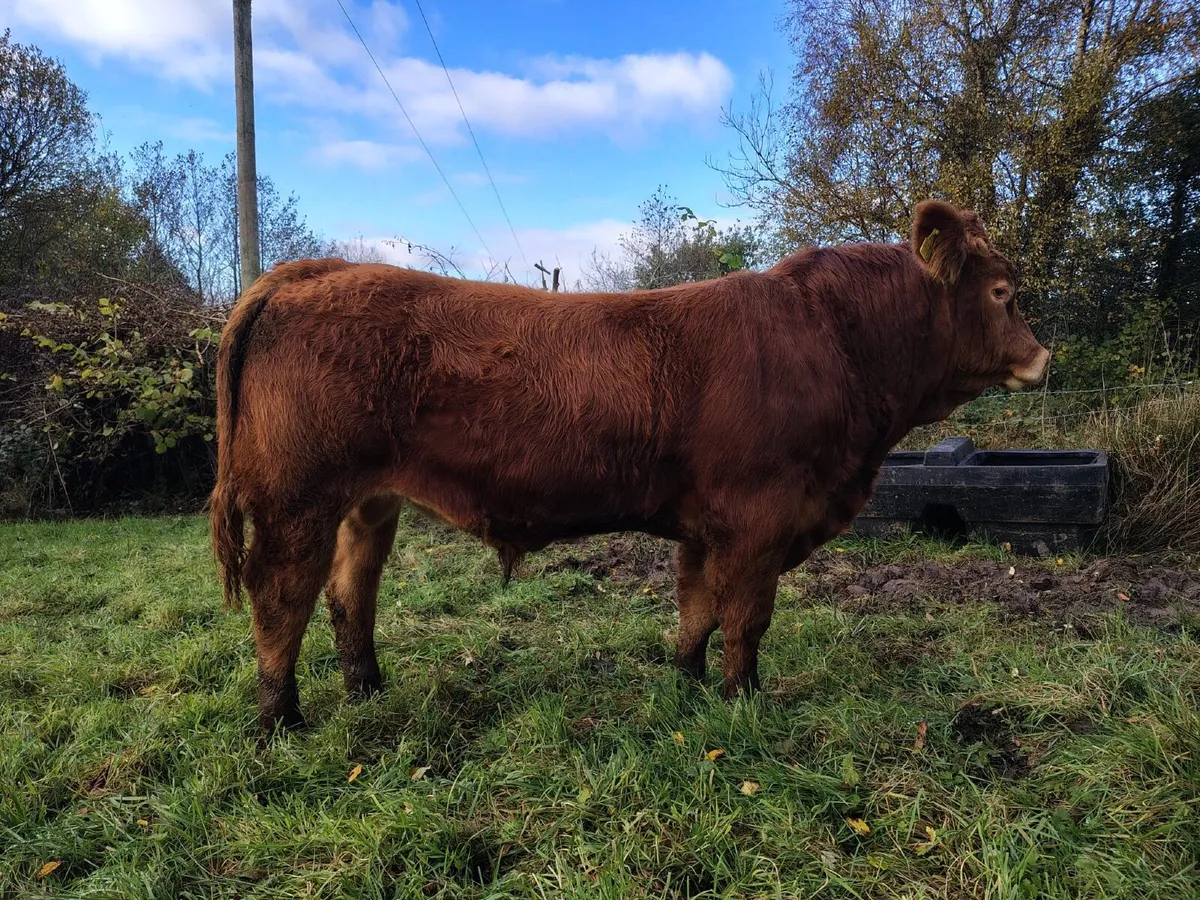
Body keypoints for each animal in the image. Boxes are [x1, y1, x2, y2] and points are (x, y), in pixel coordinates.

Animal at [210, 200, 1049, 733]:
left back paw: (368, 690)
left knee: (350, 593)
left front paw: (687, 684)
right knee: (279, 598)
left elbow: (696, 608)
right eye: (1003, 292)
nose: (1042, 357)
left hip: (366, 501)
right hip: (297, 498)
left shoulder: (709, 525)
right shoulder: (761, 519)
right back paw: (282, 720)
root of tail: (313, 270)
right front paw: (746, 701)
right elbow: (746, 618)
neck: (834, 343)